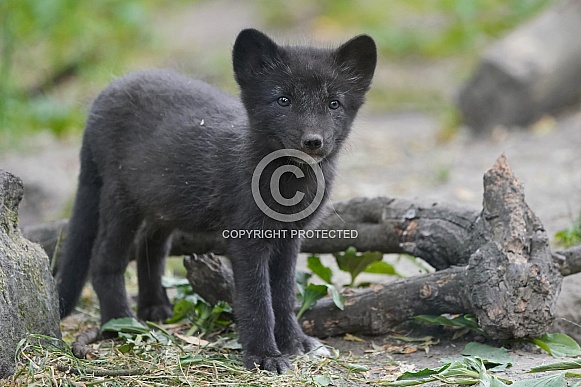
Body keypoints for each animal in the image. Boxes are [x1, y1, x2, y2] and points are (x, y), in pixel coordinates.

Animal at [55, 28, 376, 372]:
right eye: (283, 100)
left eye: (334, 103)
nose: (313, 141)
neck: (289, 187)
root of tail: (106, 93)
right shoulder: (246, 239)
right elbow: (257, 300)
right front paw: (264, 356)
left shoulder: (290, 239)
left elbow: (284, 296)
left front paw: (295, 344)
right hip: (121, 200)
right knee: (103, 258)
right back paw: (121, 323)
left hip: (163, 206)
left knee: (148, 247)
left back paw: (154, 308)